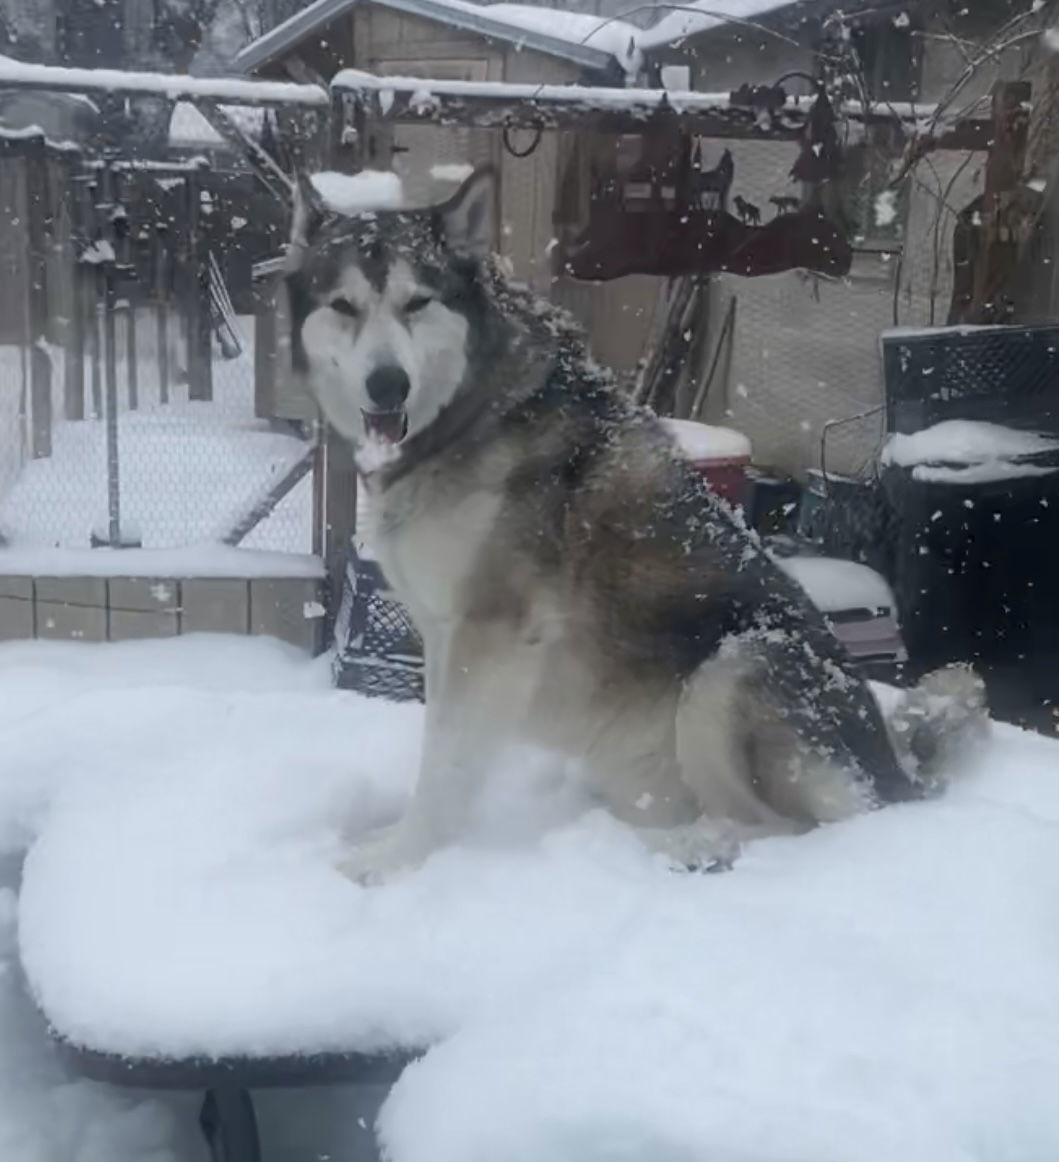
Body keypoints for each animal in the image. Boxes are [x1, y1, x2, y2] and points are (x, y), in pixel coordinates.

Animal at [285, 166, 990, 878]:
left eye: (417, 303)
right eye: (343, 306)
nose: (388, 385)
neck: (472, 409)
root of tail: (897, 774)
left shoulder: (491, 632)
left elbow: (445, 766)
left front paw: (393, 860)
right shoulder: (442, 631)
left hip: (736, 667)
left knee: (790, 830)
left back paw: (683, 848)